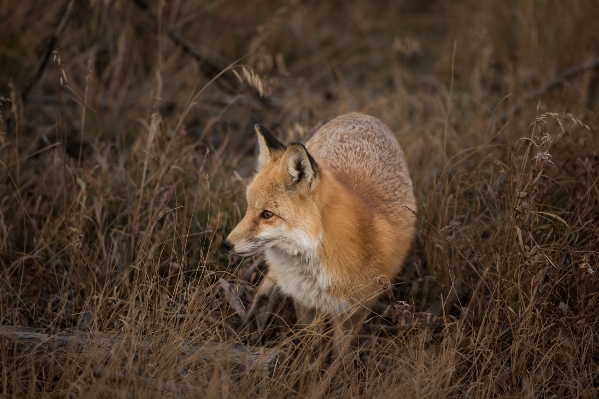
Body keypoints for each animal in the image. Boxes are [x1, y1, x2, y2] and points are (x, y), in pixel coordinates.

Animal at [225, 111, 418, 350]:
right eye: (248, 207)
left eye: (267, 214)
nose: (226, 244)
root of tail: (360, 114)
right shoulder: (305, 300)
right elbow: (309, 345)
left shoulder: (354, 309)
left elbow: (340, 355)